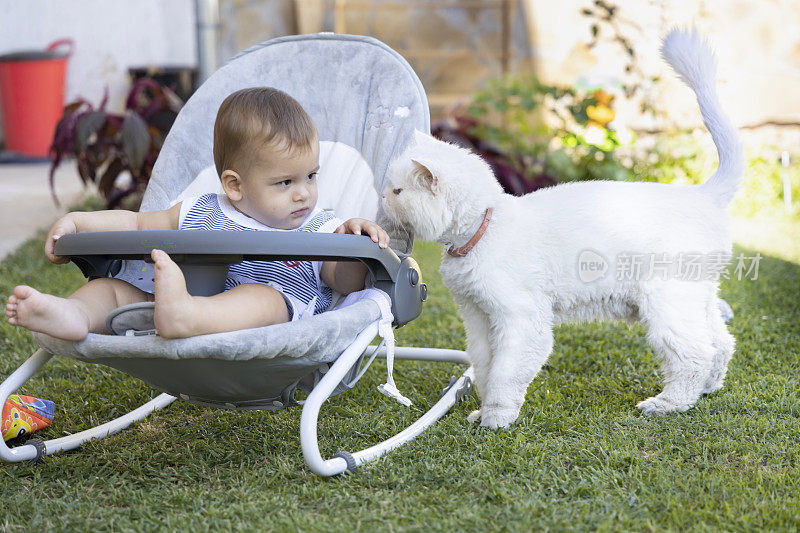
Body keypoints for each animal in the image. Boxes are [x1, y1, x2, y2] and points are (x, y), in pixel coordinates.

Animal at [382, 29, 744, 428]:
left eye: (397, 191)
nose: (381, 197)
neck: (483, 231)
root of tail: (703, 193)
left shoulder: (521, 320)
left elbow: (505, 374)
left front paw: (496, 420)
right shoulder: (479, 319)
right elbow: (485, 368)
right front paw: (482, 412)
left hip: (667, 304)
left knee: (695, 355)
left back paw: (668, 404)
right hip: (695, 300)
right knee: (720, 344)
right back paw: (708, 390)